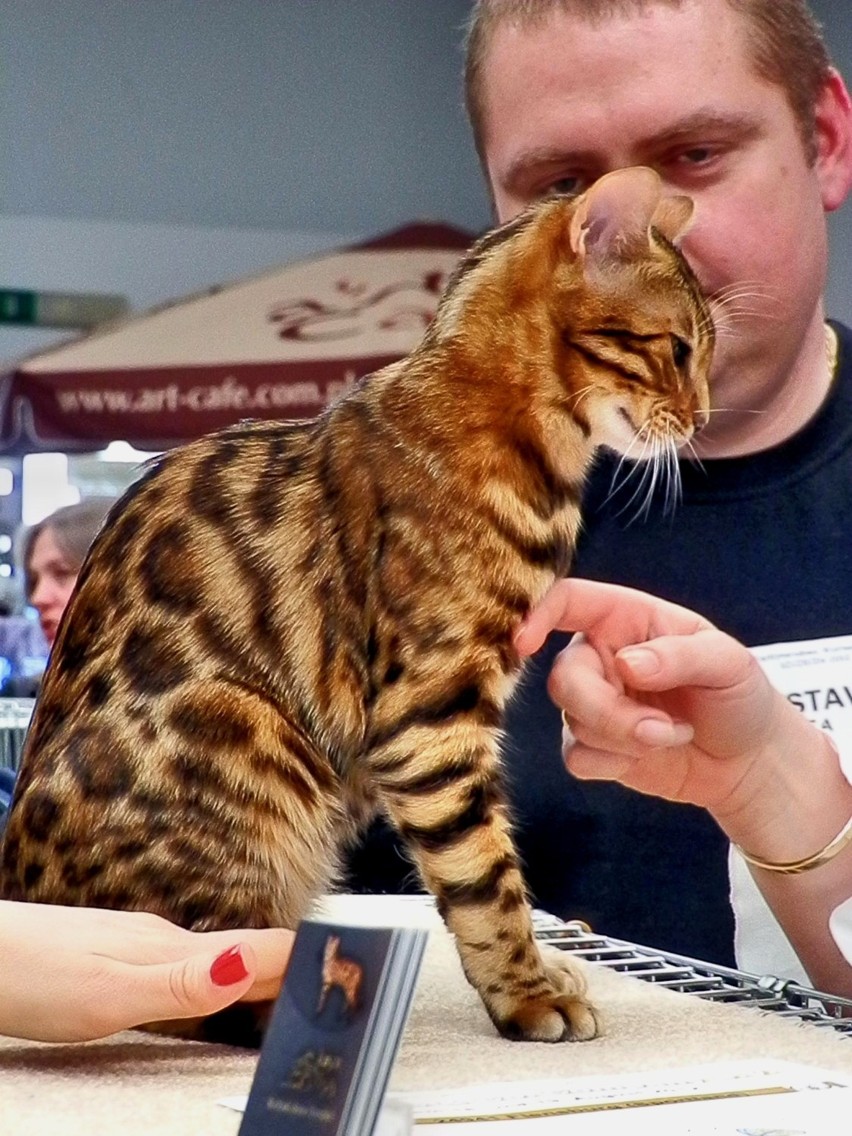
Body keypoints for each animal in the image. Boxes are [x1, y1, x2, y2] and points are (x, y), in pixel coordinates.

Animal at [0, 165, 713, 1045]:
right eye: (677, 349)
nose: (703, 417)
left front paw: (539, 974)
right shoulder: (430, 721)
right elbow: (485, 880)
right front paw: (525, 992)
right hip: (244, 734)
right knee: (197, 986)